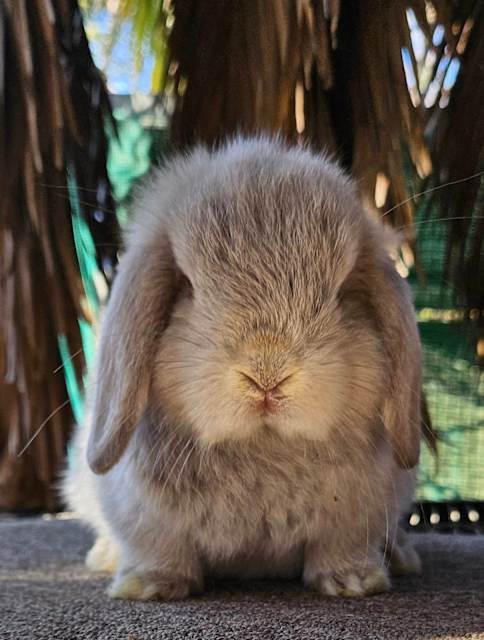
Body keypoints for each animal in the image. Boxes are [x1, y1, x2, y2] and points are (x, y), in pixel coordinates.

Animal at [63, 136, 423, 601]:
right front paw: (149, 585)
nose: (267, 374)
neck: (263, 448)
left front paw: (355, 581)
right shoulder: (140, 512)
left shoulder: (359, 512)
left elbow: (339, 545)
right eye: (188, 287)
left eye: (343, 291)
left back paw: (402, 556)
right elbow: (158, 545)